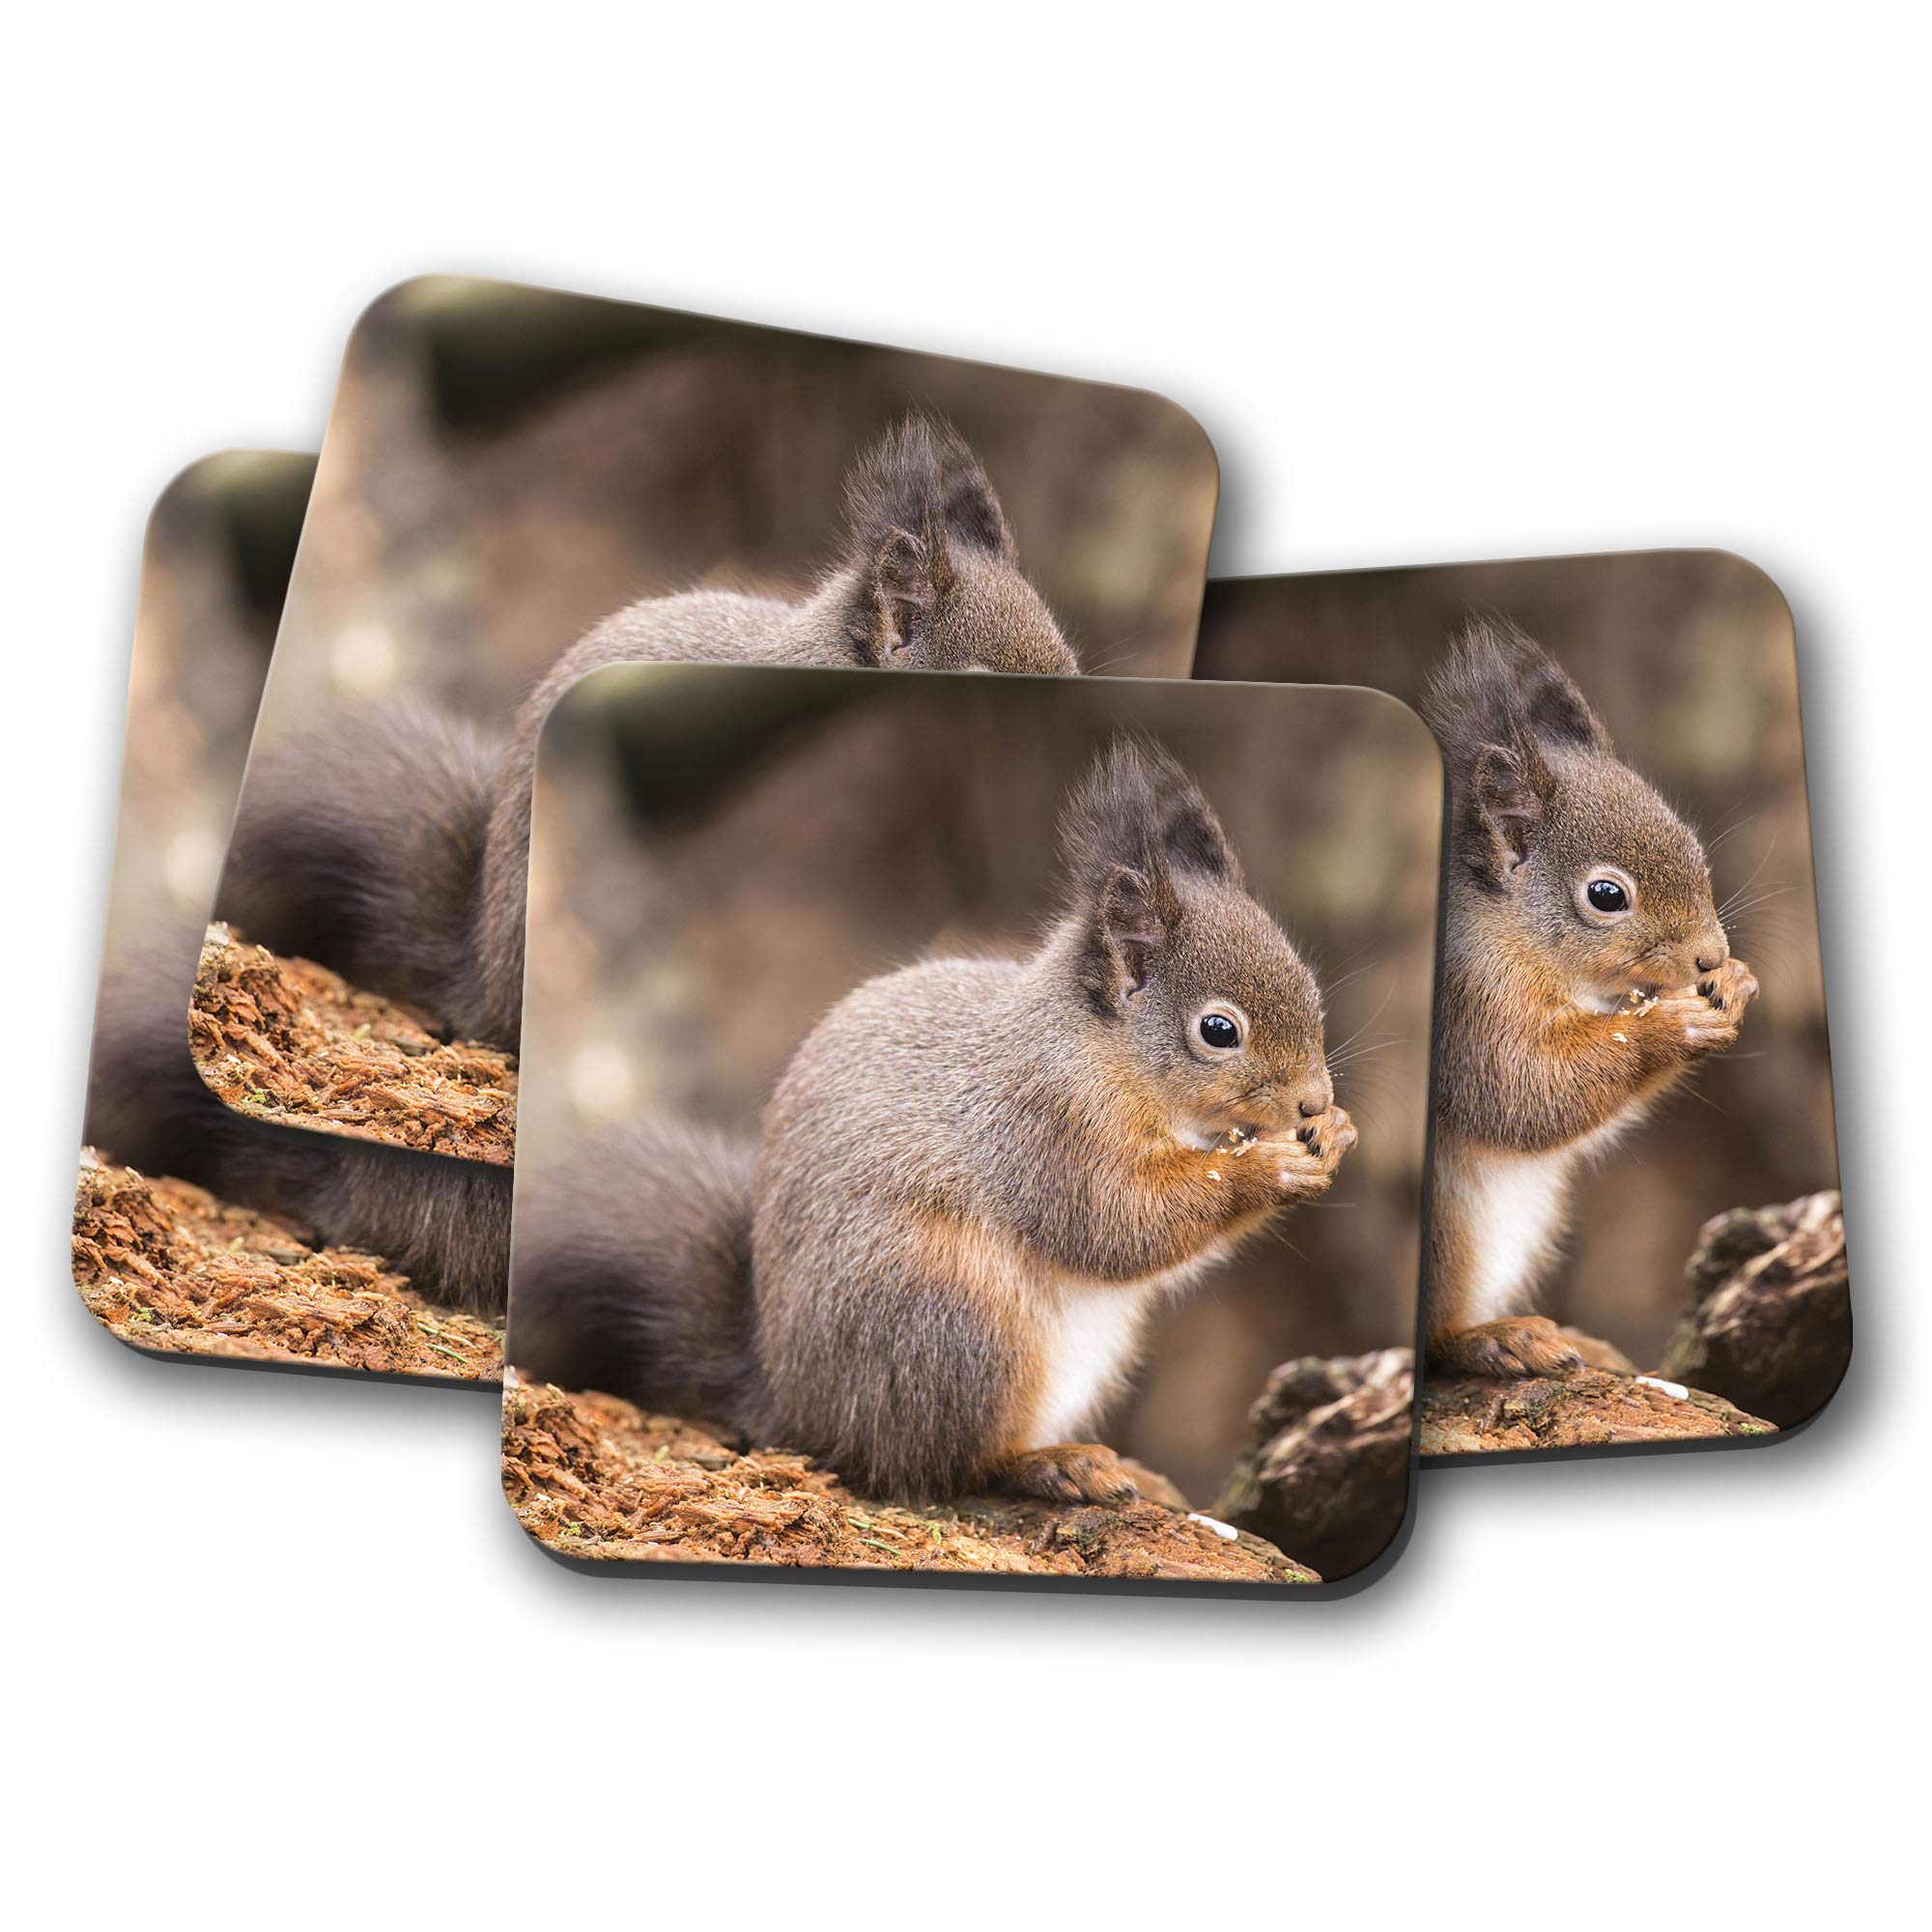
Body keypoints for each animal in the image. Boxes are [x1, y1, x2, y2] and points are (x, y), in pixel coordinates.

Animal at [511, 737, 1357, 1503]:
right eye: (1218, 1031)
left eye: (1311, 987)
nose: (1313, 1101)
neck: (1107, 1054)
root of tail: (795, 1402)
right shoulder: (1045, 1124)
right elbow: (1115, 1223)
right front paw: (1267, 1167)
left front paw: (1338, 1134)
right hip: (951, 1322)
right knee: (943, 1462)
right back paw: (1051, 1465)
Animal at [1419, 617, 1759, 1379]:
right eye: (1607, 896)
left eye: (1693, 847)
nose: (1709, 955)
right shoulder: (1467, 1004)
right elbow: (1525, 1091)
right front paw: (1670, 1025)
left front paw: (1736, 983)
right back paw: (1496, 1338)